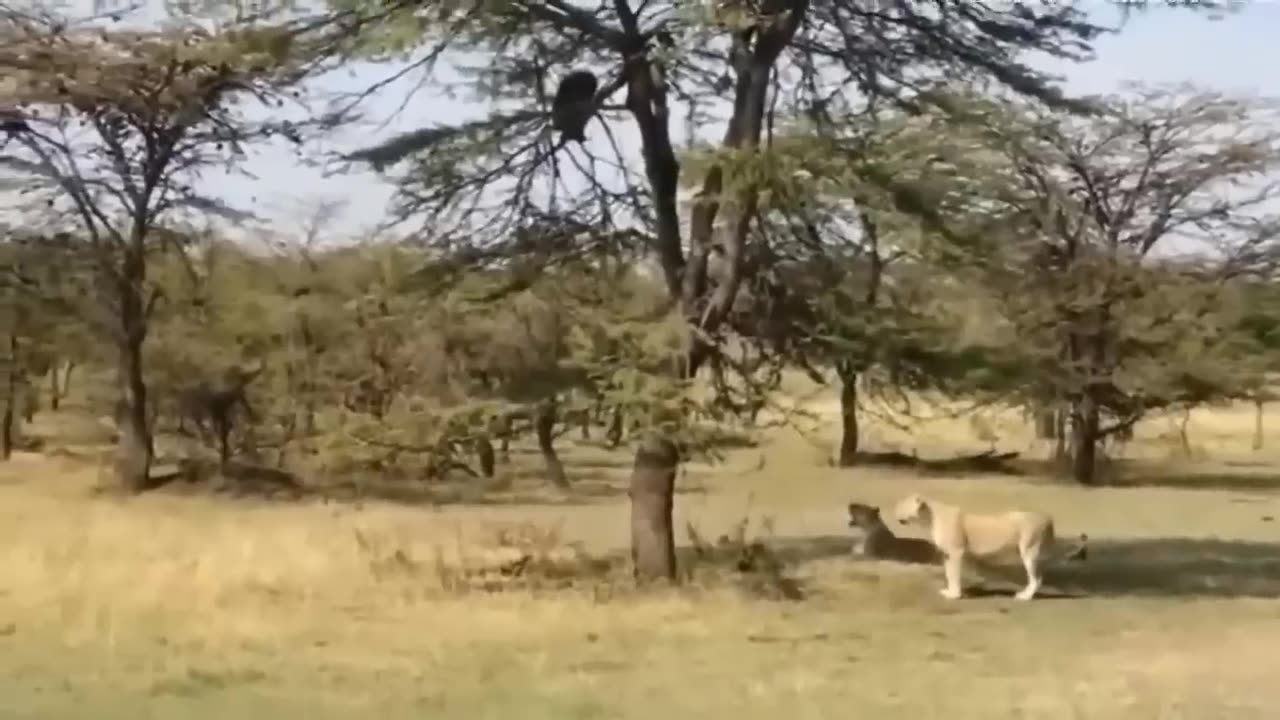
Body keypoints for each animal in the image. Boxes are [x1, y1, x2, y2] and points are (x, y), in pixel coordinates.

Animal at [890, 491, 1090, 599]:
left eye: (901, 505)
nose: (894, 511)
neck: (928, 518)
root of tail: (1047, 517)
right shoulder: (948, 554)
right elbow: (948, 574)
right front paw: (950, 591)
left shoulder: (956, 551)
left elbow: (953, 574)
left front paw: (955, 595)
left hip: (1028, 550)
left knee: (1037, 578)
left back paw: (1024, 597)